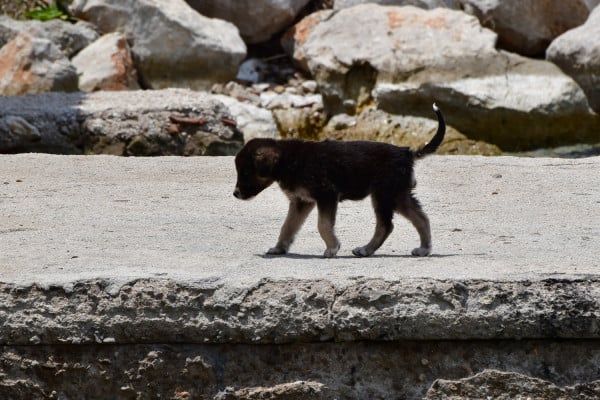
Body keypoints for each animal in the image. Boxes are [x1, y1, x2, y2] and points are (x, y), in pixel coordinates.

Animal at [234, 104, 446, 258]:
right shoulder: (301, 201)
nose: (235, 194)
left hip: (383, 194)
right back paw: (423, 249)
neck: (288, 160)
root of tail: (407, 153)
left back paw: (366, 249)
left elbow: (323, 224)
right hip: (398, 194)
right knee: (421, 218)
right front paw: (279, 249)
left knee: (386, 225)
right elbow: (287, 226)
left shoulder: (327, 194)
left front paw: (332, 248)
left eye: (246, 172)